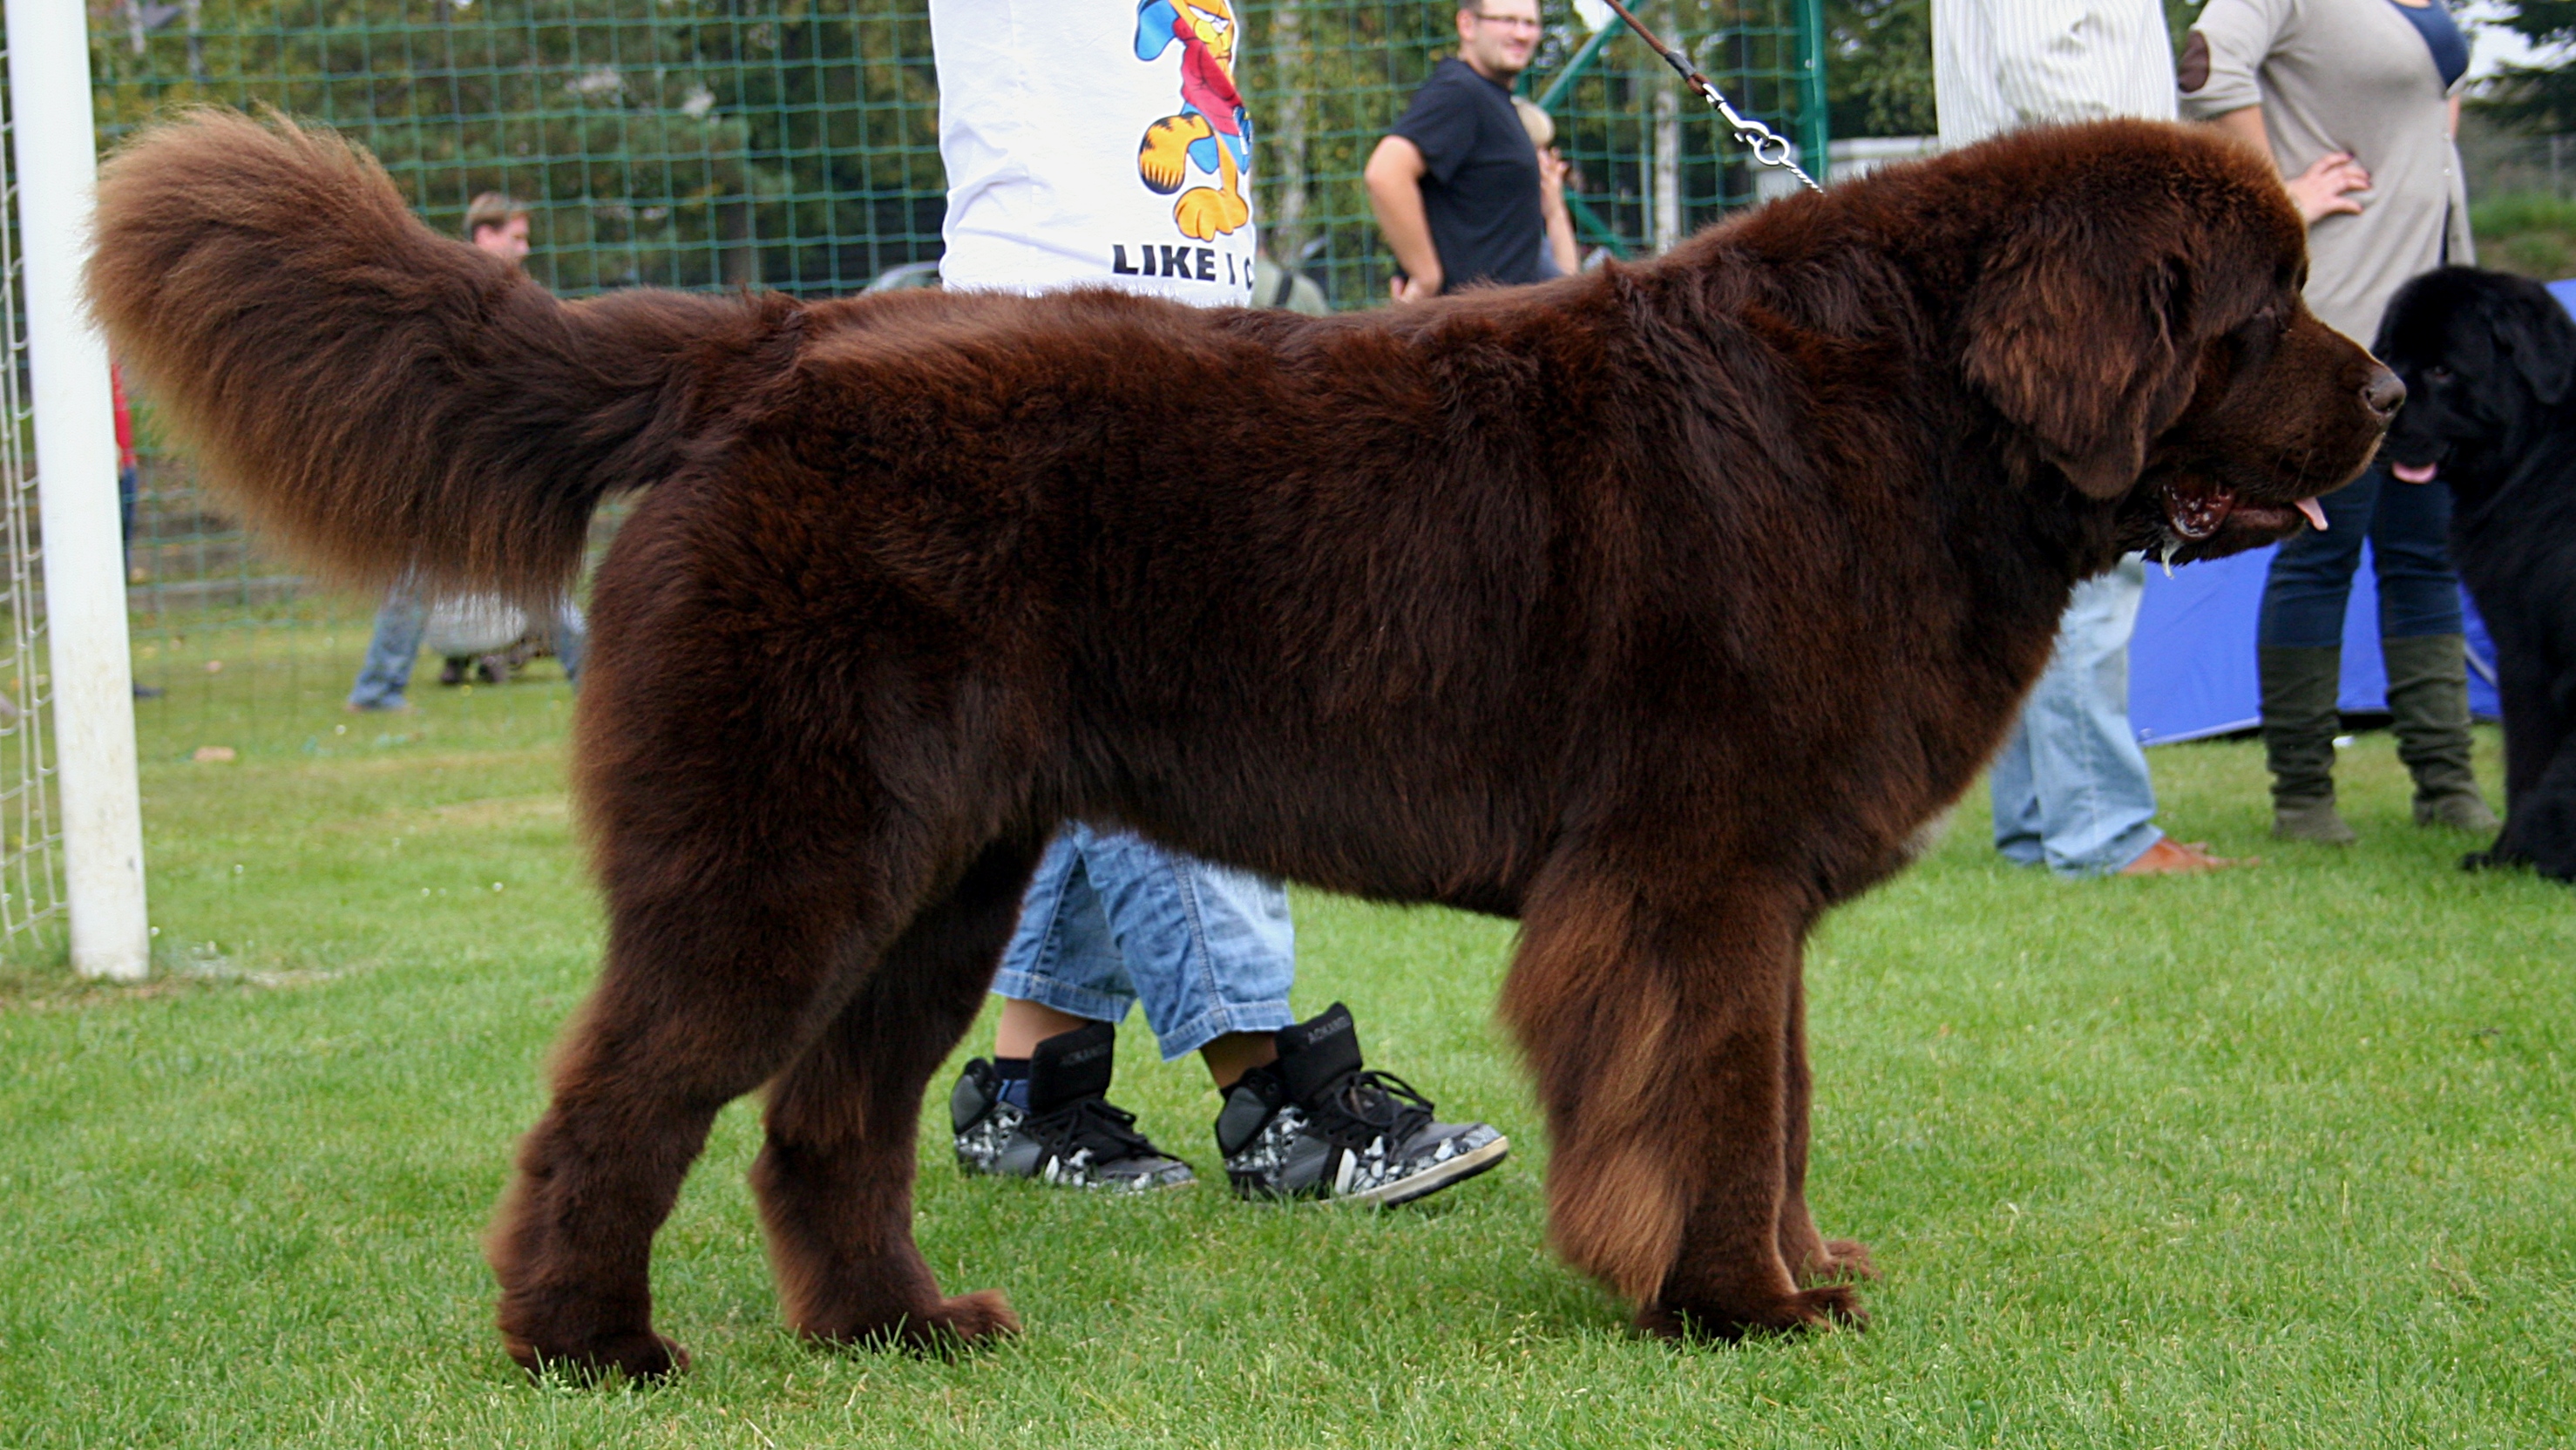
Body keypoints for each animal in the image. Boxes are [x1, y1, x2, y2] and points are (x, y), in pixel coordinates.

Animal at [95, 107, 2390, 1380]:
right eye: (2256, 306)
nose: (2383, 401)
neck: (1920, 419)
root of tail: (774, 337)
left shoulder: (1751, 890)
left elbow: (1783, 1102)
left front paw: (1797, 1272)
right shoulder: (1692, 876)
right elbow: (1720, 1105)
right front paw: (1737, 1303)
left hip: (941, 871)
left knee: (824, 1119)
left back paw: (902, 1330)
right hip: (788, 846)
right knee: (620, 1100)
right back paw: (594, 1350)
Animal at [2369, 268, 2576, 885]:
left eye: (2441, 370)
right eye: (2391, 354)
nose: (2378, 412)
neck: (2539, 448)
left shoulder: (2524, 656)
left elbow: (2525, 766)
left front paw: (2503, 856)